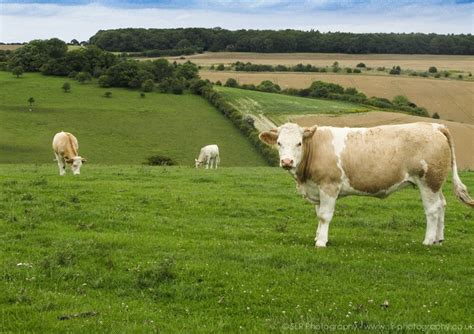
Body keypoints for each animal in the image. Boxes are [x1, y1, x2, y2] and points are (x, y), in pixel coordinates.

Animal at [262, 122, 472, 248]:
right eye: (279, 143)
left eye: (299, 143)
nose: (287, 162)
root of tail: (434, 125)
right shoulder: (316, 189)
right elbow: (318, 215)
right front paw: (318, 236)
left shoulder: (329, 186)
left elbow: (324, 216)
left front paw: (321, 242)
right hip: (436, 183)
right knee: (442, 205)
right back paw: (438, 239)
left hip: (428, 181)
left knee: (433, 209)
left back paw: (428, 240)